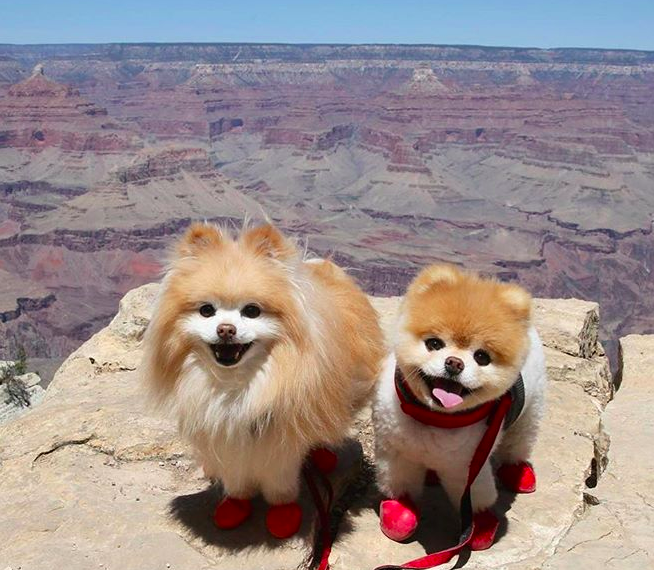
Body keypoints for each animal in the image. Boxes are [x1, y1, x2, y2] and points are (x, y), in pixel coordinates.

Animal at [141, 222, 382, 536]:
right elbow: (236, 479)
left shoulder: (280, 441)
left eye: (252, 310)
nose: (226, 329)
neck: (236, 386)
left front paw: (283, 515)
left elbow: (280, 484)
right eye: (207, 310)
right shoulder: (227, 435)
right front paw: (235, 505)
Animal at [374, 266, 548, 552]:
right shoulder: (398, 454)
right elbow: (400, 484)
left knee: (519, 442)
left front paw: (480, 525)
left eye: (482, 357)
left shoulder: (468, 467)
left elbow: (476, 497)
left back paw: (517, 471)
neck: (434, 417)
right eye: (434, 344)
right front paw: (400, 513)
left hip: (531, 412)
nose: (454, 363)